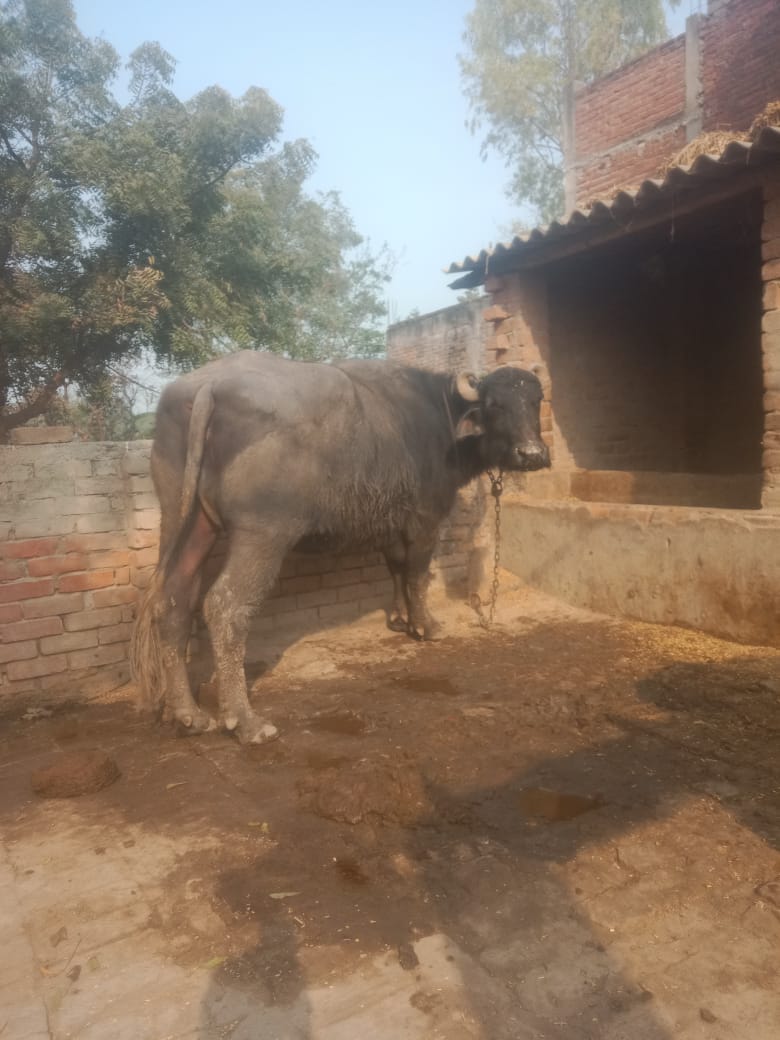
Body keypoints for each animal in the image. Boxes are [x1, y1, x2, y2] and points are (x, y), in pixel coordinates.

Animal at [131, 350, 550, 744]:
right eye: (495, 404)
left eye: (535, 400)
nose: (532, 454)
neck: (441, 417)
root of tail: (210, 386)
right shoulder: (425, 518)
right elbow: (417, 574)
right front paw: (426, 625)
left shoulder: (390, 524)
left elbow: (396, 569)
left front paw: (401, 618)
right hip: (262, 534)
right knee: (225, 606)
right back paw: (246, 722)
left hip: (186, 521)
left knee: (174, 599)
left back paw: (188, 714)